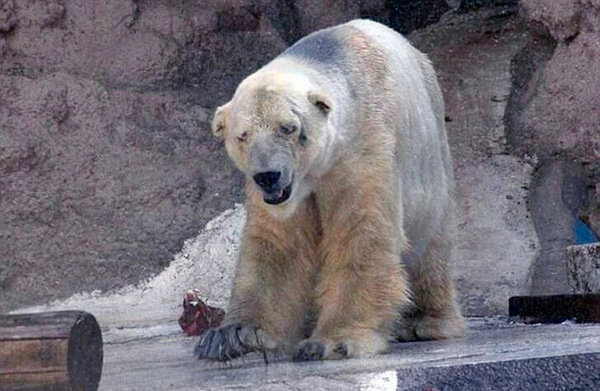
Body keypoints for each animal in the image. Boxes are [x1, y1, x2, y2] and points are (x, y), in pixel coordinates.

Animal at [195, 18, 466, 362]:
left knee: (430, 244)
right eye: (242, 135)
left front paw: (332, 340)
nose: (268, 176)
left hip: (430, 158)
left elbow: (360, 231)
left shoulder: (362, 151)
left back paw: (426, 321)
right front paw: (232, 335)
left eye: (289, 128)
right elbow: (279, 244)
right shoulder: (281, 195)